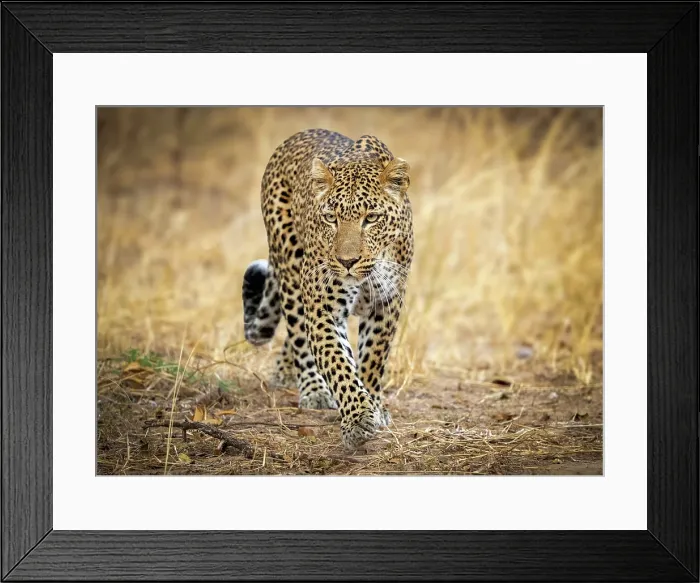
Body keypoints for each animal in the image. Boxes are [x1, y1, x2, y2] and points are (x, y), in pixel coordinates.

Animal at [242, 128, 414, 449]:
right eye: (331, 218)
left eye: (371, 218)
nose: (347, 262)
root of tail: (296, 136)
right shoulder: (324, 309)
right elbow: (338, 363)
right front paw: (358, 419)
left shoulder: (386, 304)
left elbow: (373, 359)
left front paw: (374, 405)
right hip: (292, 270)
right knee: (298, 333)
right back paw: (313, 389)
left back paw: (285, 372)